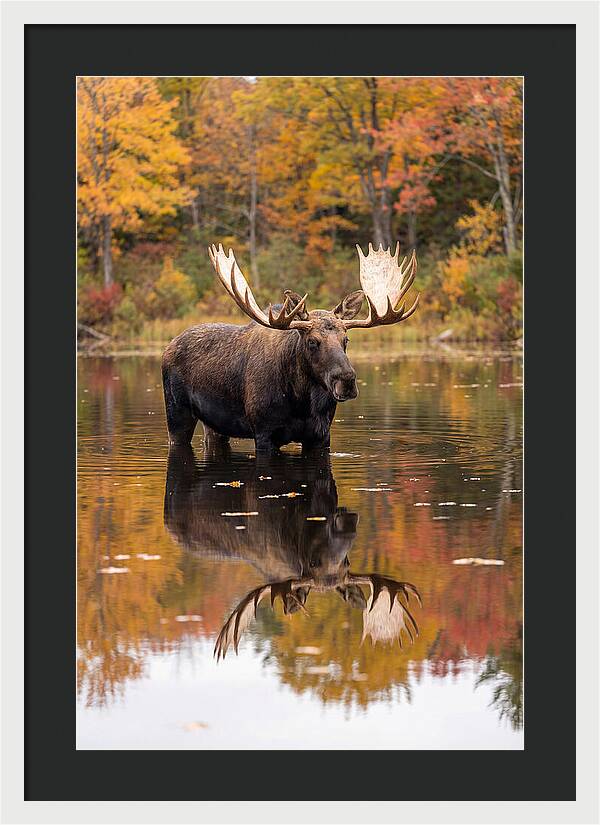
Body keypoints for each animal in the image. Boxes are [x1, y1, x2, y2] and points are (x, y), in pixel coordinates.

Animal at [161, 242, 419, 454]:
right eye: (312, 341)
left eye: (346, 340)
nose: (346, 380)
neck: (301, 402)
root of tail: (169, 346)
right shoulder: (264, 432)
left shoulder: (321, 436)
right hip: (176, 412)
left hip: (214, 425)